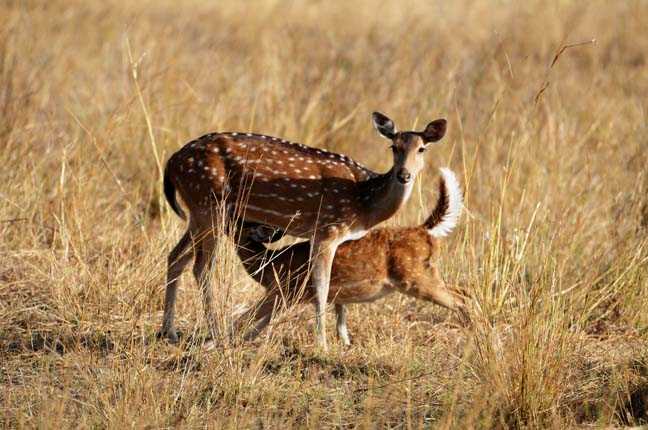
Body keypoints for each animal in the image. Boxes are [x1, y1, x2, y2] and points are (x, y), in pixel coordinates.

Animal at [233, 168, 466, 346]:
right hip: (427, 273)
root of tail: (424, 230)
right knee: (462, 291)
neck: (269, 263)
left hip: (413, 277)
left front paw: (224, 341)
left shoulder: (284, 290)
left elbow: (243, 319)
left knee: (460, 298)